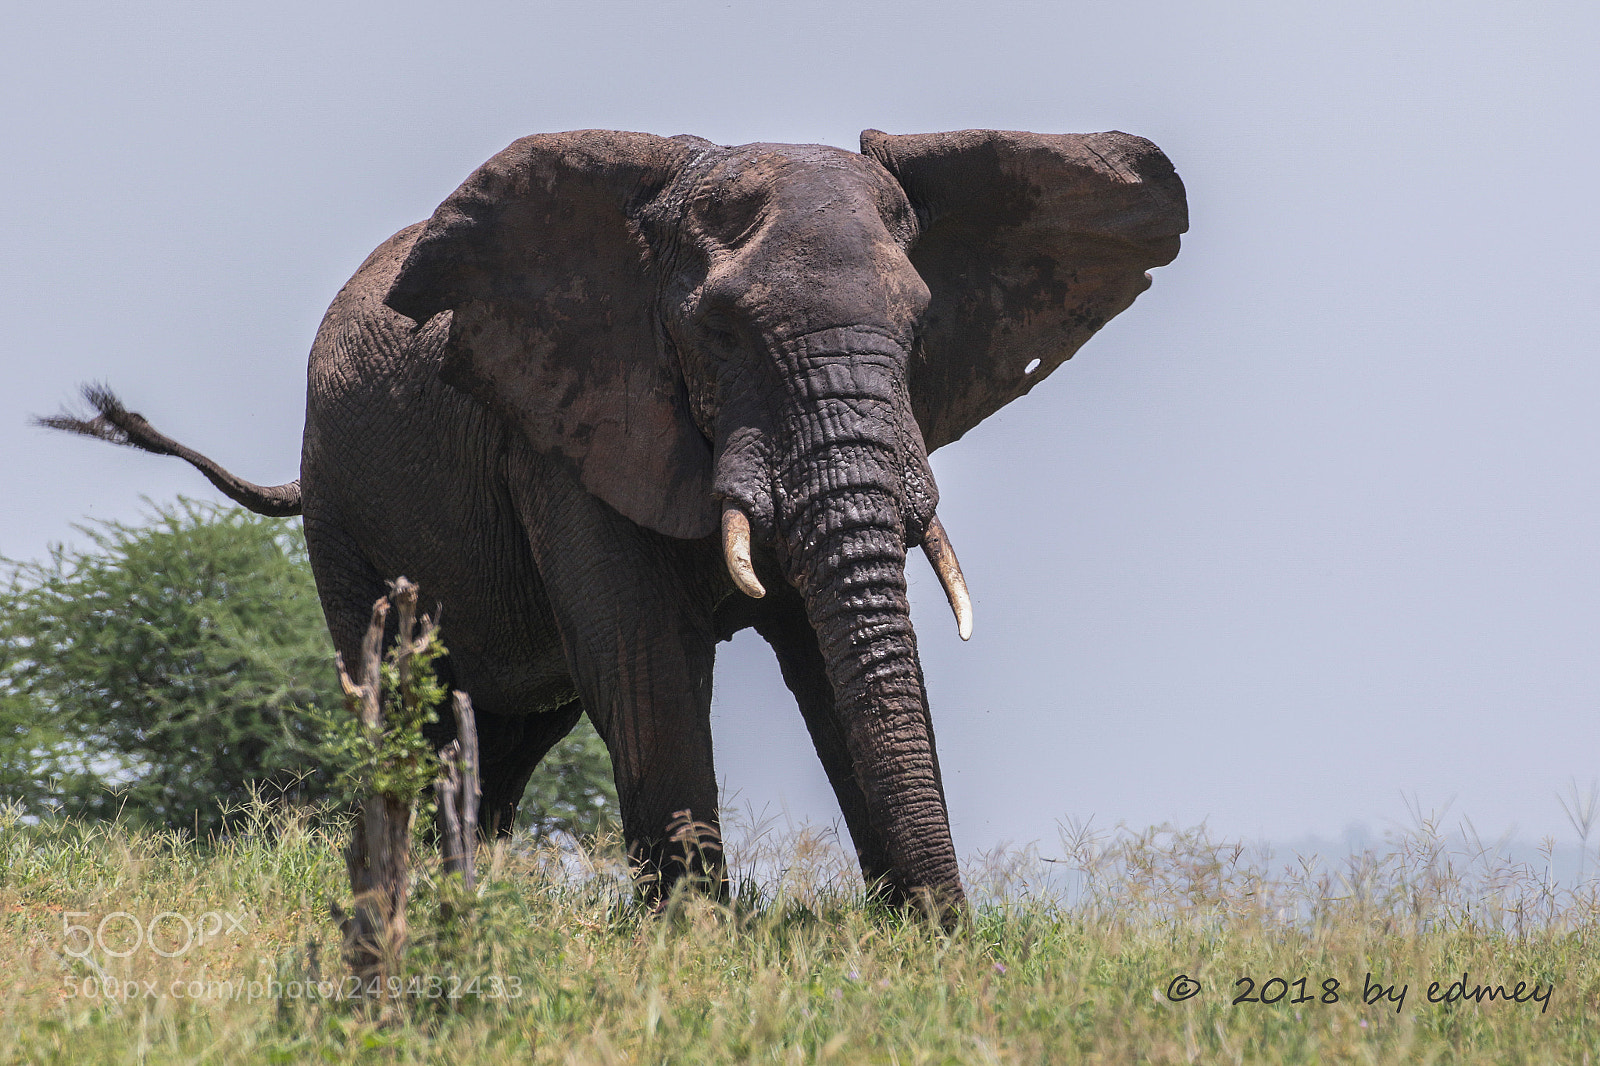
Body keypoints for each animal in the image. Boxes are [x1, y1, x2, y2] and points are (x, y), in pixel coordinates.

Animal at [47, 127, 1186, 916]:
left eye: (917, 329)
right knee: (409, 697)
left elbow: (824, 654)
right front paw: (696, 940)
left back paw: (469, 889)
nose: (958, 931)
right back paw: (413, 892)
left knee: (505, 733)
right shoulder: (559, 428)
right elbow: (640, 656)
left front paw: (913, 937)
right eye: (720, 331)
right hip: (338, 505)